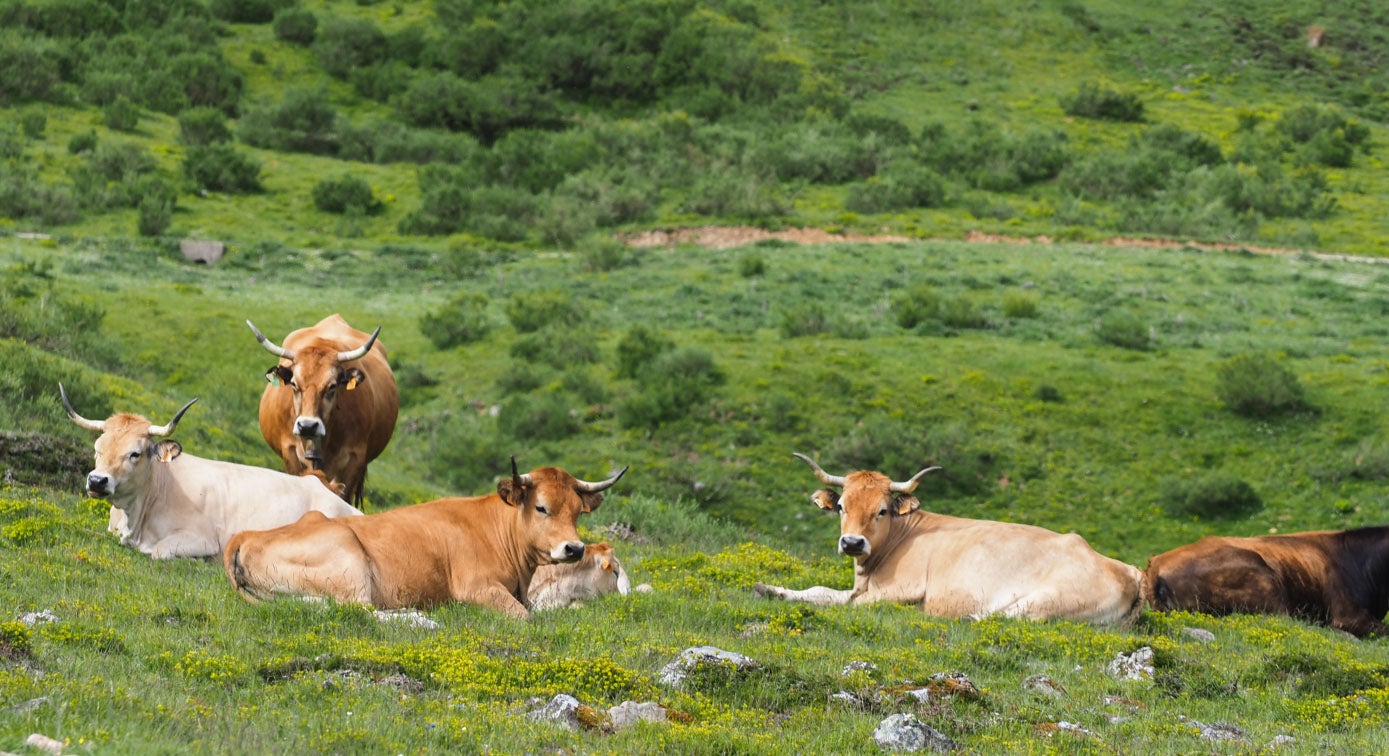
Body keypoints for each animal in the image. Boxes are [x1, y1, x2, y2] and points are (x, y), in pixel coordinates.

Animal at [223, 458, 630, 617]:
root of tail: (246, 535)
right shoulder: (477, 587)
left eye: (577, 512)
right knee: (362, 609)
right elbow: (523, 617)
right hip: (349, 561)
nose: (573, 548)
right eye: (541, 507)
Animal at [755, 453, 1144, 622]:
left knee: (1004, 617)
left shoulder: (901, 589)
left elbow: (843, 602)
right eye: (840, 507)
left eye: (882, 510)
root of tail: (1128, 571)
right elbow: (820, 591)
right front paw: (769, 589)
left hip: (1046, 600)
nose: (852, 543)